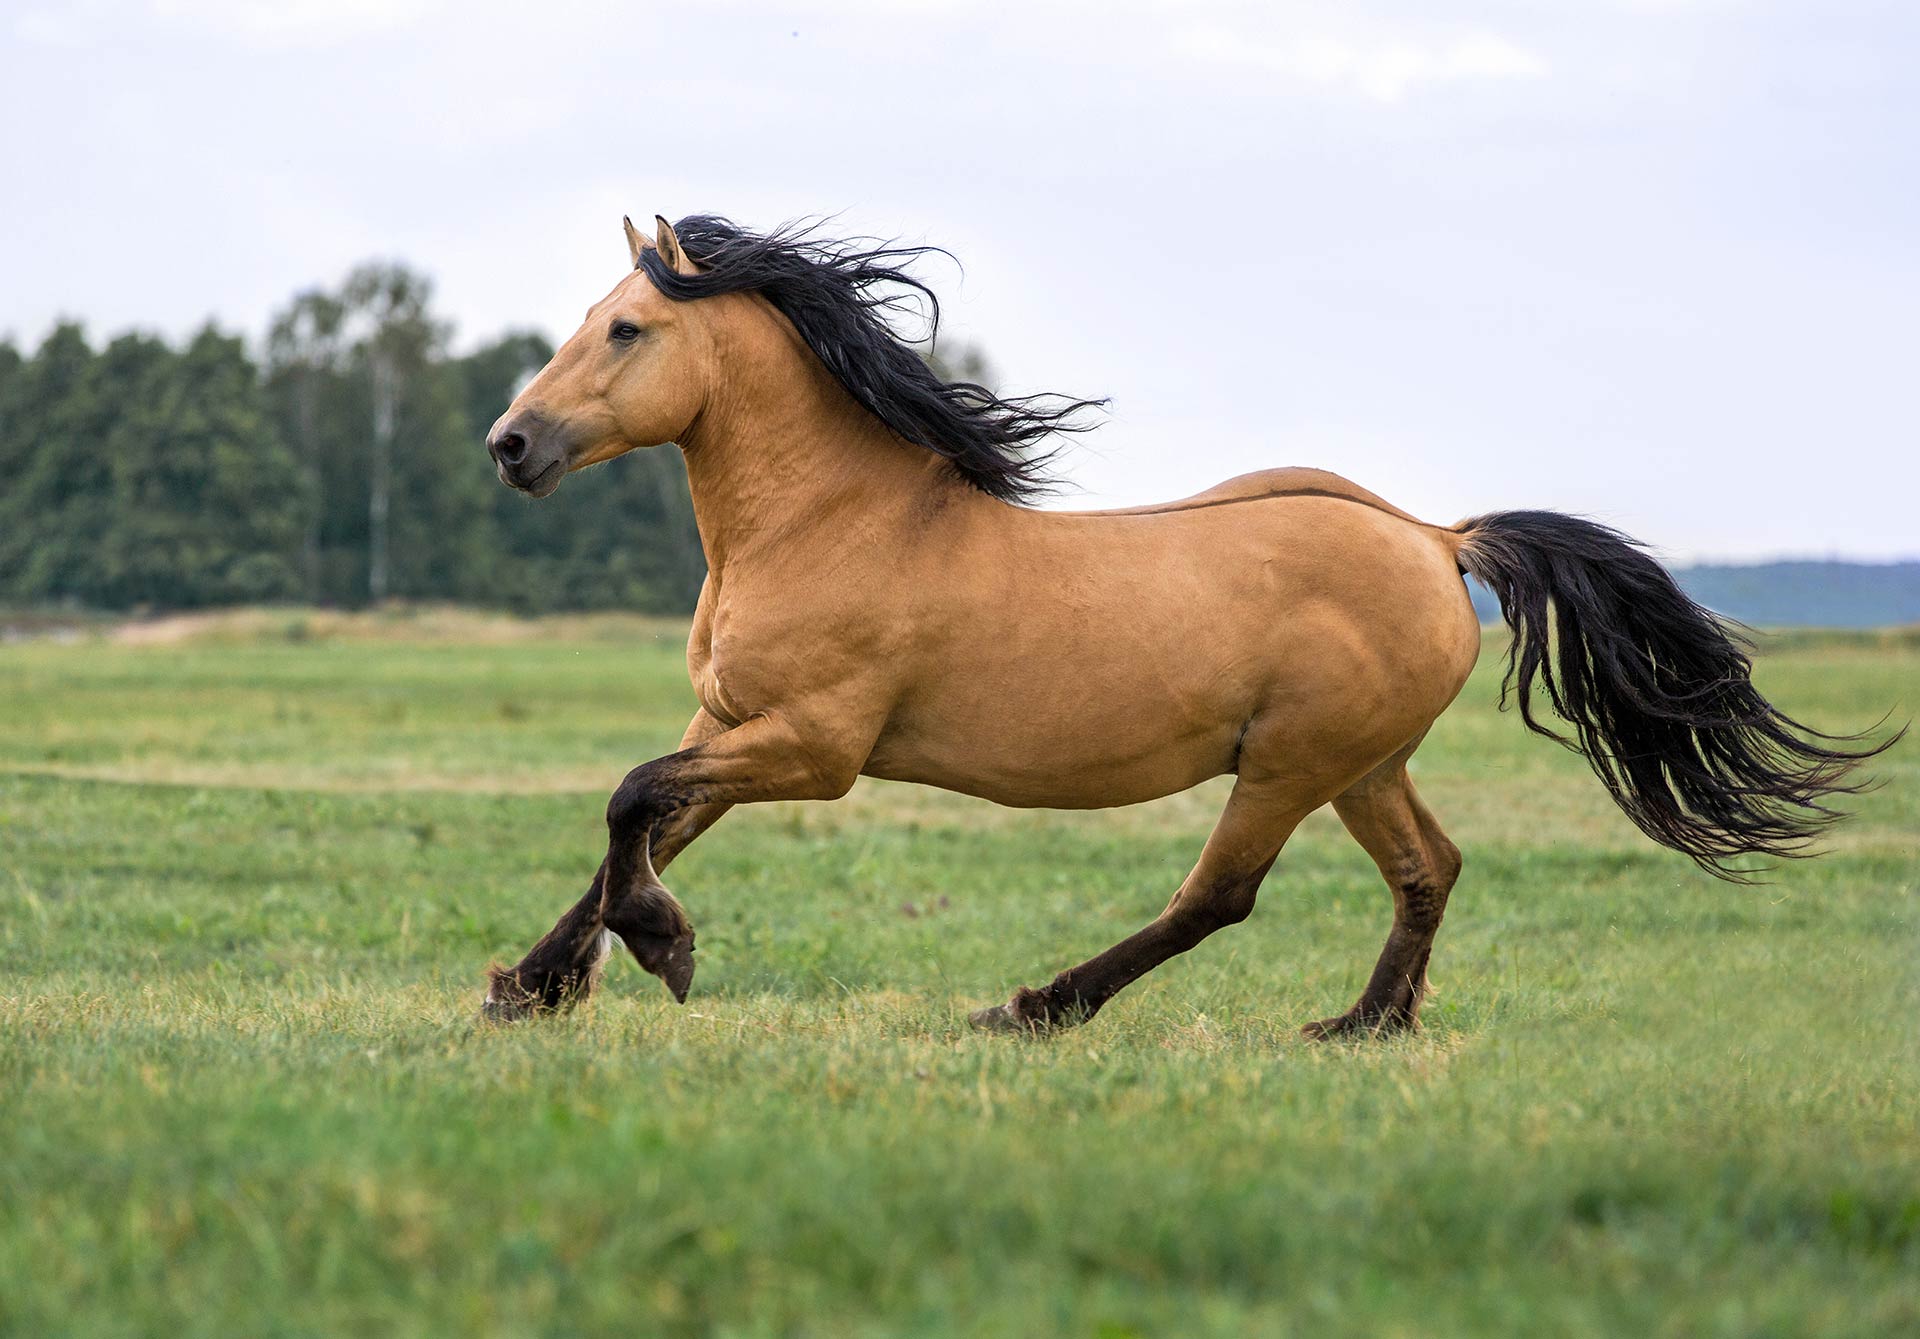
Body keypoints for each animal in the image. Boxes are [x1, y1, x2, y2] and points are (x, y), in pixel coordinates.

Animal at [479, 213, 1895, 1038]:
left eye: (627, 327)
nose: (510, 445)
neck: (832, 519)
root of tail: (1437, 540)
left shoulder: (815, 748)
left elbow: (630, 800)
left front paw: (659, 951)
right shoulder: (732, 720)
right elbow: (643, 822)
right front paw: (531, 985)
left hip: (1289, 764)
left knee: (1219, 896)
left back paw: (1034, 1007)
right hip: (1364, 764)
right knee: (1428, 869)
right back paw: (1365, 1025)